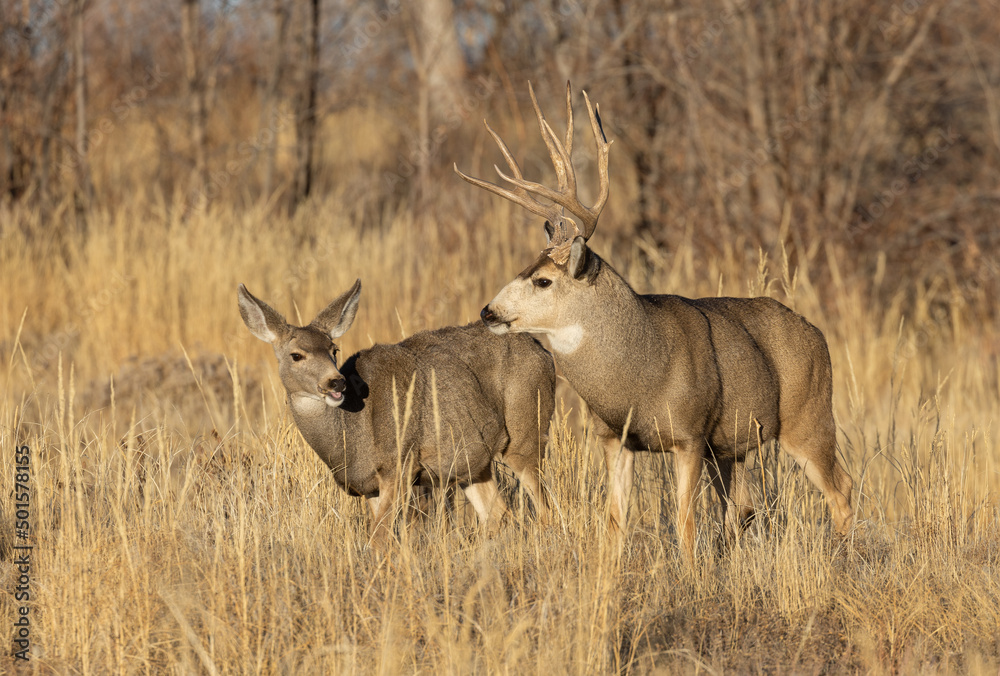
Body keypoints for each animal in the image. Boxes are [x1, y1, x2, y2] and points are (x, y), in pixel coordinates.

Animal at [237, 280, 555, 549]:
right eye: (296, 355)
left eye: (333, 349)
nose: (335, 382)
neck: (353, 434)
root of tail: (543, 351)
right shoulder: (370, 487)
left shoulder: (400, 464)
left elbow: (378, 540)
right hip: (472, 463)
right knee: (500, 514)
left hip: (527, 432)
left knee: (544, 509)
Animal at [455, 82, 854, 561]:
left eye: (543, 280)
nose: (488, 311)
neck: (640, 375)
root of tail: (816, 333)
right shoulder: (614, 437)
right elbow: (614, 521)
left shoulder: (689, 433)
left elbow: (684, 524)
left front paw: (690, 573)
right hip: (732, 448)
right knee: (744, 508)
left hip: (807, 416)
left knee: (841, 489)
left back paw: (843, 556)